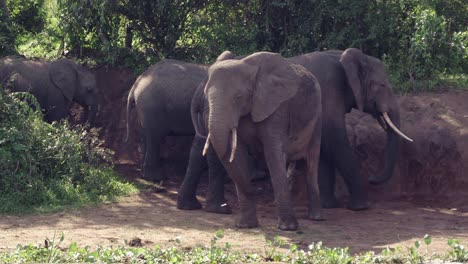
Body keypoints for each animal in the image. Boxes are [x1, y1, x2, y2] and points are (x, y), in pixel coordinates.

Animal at [199, 51, 324, 231]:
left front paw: (288, 228)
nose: (227, 208)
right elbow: (237, 154)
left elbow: (272, 153)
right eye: (206, 96)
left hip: (318, 117)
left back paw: (316, 218)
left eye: (238, 97)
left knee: (311, 163)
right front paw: (245, 226)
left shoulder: (277, 108)